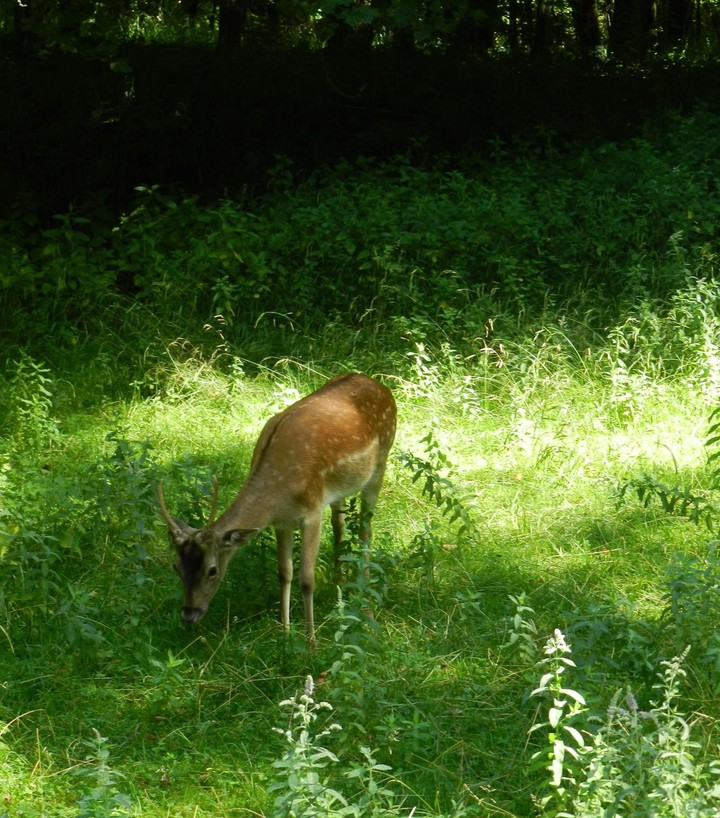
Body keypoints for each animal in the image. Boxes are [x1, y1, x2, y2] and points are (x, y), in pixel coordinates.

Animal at [158, 373, 397, 647]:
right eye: (177, 566)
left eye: (212, 570)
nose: (189, 613)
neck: (279, 492)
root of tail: (379, 385)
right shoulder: (281, 522)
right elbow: (284, 572)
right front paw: (285, 633)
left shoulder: (312, 511)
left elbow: (307, 579)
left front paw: (311, 643)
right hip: (341, 487)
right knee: (340, 523)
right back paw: (340, 583)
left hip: (382, 460)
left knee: (366, 530)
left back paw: (366, 607)